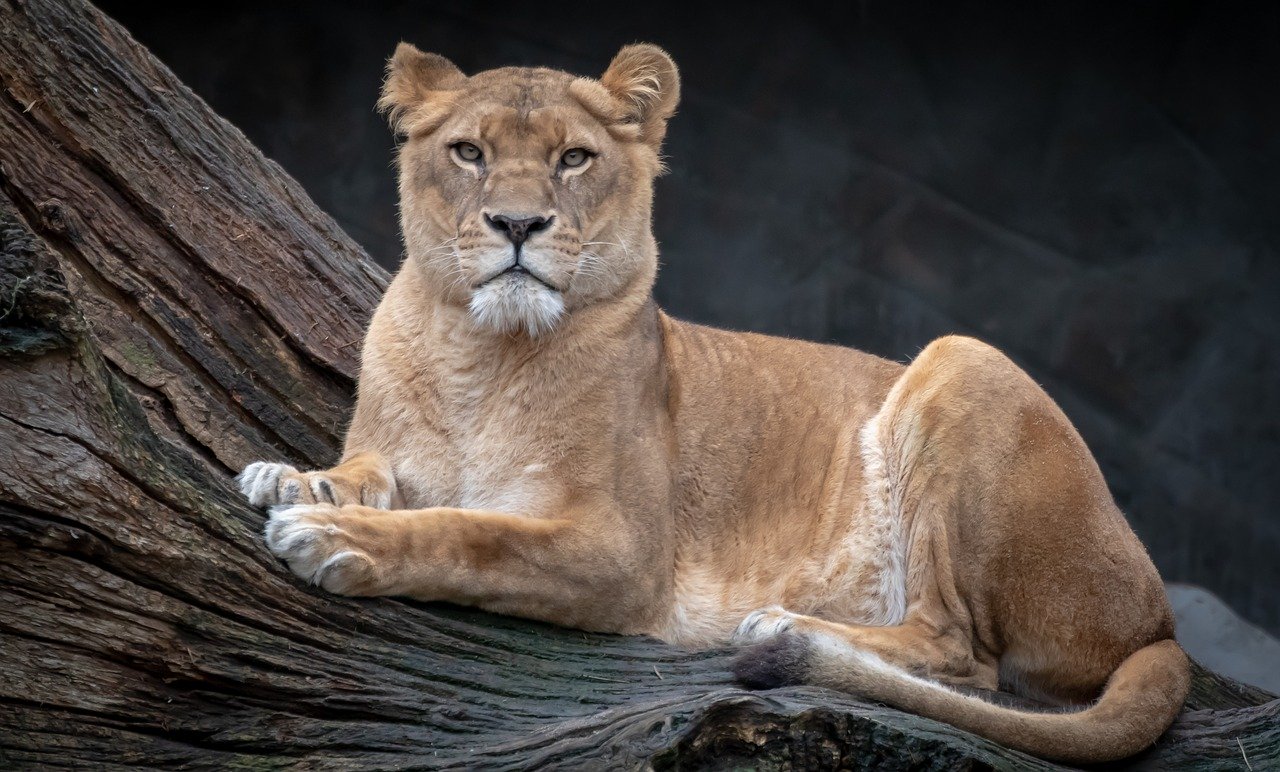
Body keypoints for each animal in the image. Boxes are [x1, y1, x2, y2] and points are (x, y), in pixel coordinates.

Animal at [237, 42, 1189, 763]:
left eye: (573, 158)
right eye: (469, 152)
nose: (516, 225)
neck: (478, 351)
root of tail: (1162, 621)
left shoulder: (621, 551)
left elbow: (472, 534)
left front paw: (335, 537)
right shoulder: (398, 445)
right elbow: (371, 468)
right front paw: (296, 480)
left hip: (963, 363)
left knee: (964, 655)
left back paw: (781, 626)